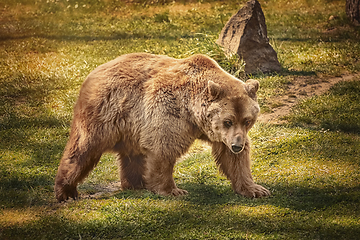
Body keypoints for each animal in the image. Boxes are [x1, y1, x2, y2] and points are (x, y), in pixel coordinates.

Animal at [54, 53, 270, 202]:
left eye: (247, 120)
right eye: (228, 120)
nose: (237, 145)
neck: (192, 113)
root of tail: (94, 71)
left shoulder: (219, 133)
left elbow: (234, 161)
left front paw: (256, 189)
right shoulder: (169, 112)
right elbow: (164, 148)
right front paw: (173, 190)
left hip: (132, 123)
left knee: (133, 154)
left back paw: (136, 183)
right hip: (104, 112)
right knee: (84, 148)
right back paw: (66, 191)